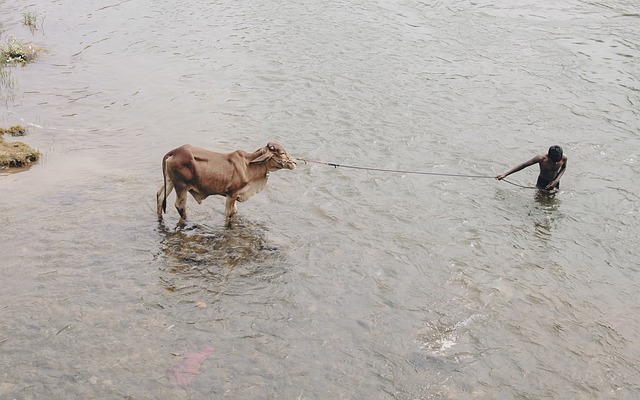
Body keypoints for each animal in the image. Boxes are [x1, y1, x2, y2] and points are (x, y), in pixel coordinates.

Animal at [156, 142, 296, 227]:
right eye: (282, 153)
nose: (294, 162)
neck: (248, 166)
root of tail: (174, 151)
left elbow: (234, 212)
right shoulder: (232, 193)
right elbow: (228, 213)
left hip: (170, 181)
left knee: (160, 195)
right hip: (181, 185)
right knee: (180, 205)